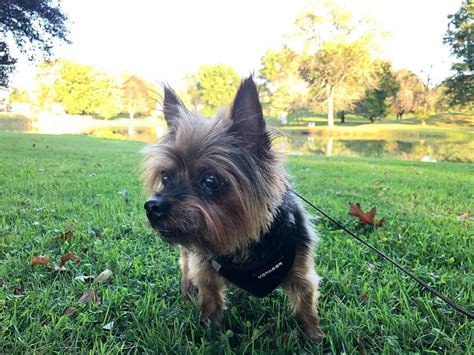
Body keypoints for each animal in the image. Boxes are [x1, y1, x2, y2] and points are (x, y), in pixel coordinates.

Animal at [143, 76, 324, 340]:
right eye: (165, 177)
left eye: (210, 180)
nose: (152, 206)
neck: (240, 244)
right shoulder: (205, 271)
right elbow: (210, 302)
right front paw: (210, 334)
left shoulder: (301, 270)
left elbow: (306, 307)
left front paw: (315, 337)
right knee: (185, 265)